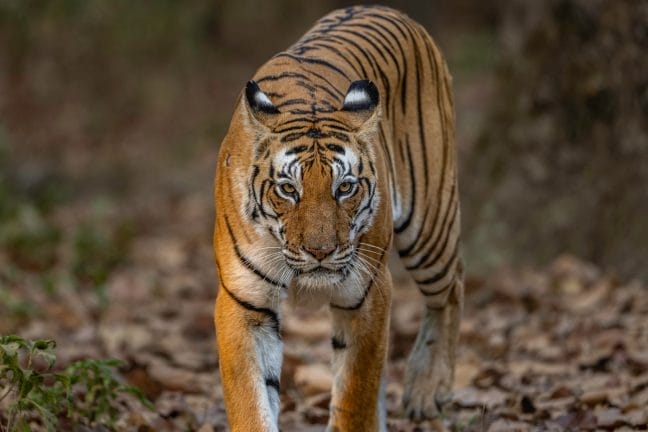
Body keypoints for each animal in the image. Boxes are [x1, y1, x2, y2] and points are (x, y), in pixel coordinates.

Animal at [213, 5, 462, 431]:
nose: (320, 252)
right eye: (288, 189)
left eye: (345, 187)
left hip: (430, 226)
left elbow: (354, 395)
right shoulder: (244, 300)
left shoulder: (366, 293)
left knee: (452, 288)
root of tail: (384, 8)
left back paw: (427, 389)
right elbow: (251, 398)